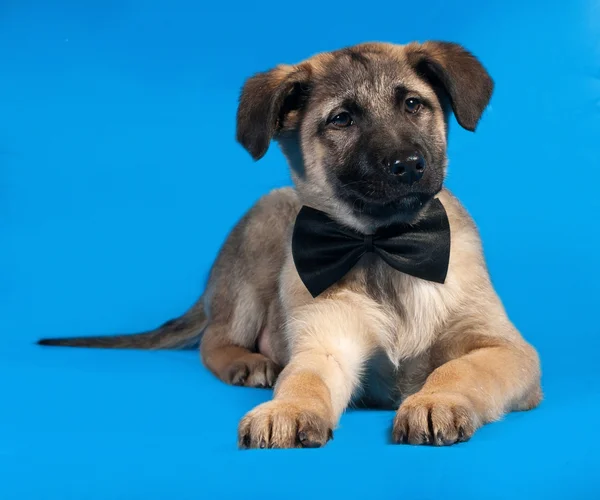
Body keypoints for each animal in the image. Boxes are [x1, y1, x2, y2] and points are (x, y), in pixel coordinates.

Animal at [38, 41, 544, 450]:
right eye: (342, 119)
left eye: (413, 104)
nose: (407, 165)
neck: (381, 246)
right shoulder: (325, 345)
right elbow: (302, 380)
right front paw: (287, 409)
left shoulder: (505, 348)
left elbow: (458, 369)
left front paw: (434, 400)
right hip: (258, 243)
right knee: (214, 340)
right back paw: (248, 363)